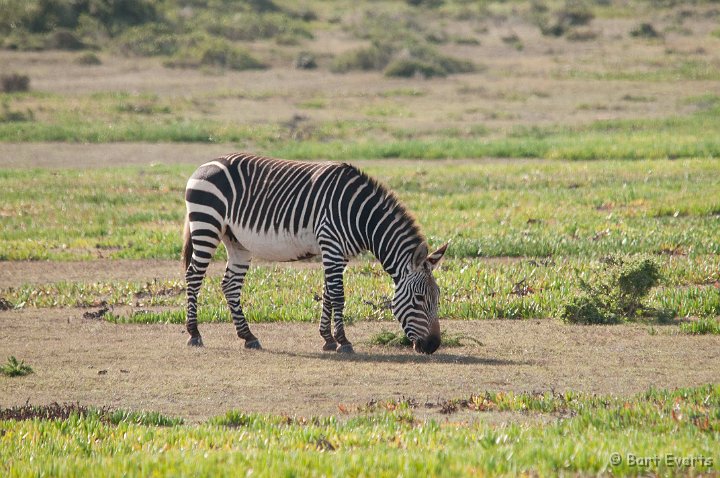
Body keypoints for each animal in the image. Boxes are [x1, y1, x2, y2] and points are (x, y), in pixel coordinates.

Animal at [181, 153, 444, 354]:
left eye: (438, 297)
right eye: (419, 298)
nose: (433, 346)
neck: (361, 217)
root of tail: (205, 164)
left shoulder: (338, 254)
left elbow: (328, 293)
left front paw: (328, 339)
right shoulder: (331, 245)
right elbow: (338, 295)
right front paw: (343, 342)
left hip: (236, 241)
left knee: (230, 285)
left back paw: (248, 336)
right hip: (207, 224)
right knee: (194, 276)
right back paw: (194, 334)